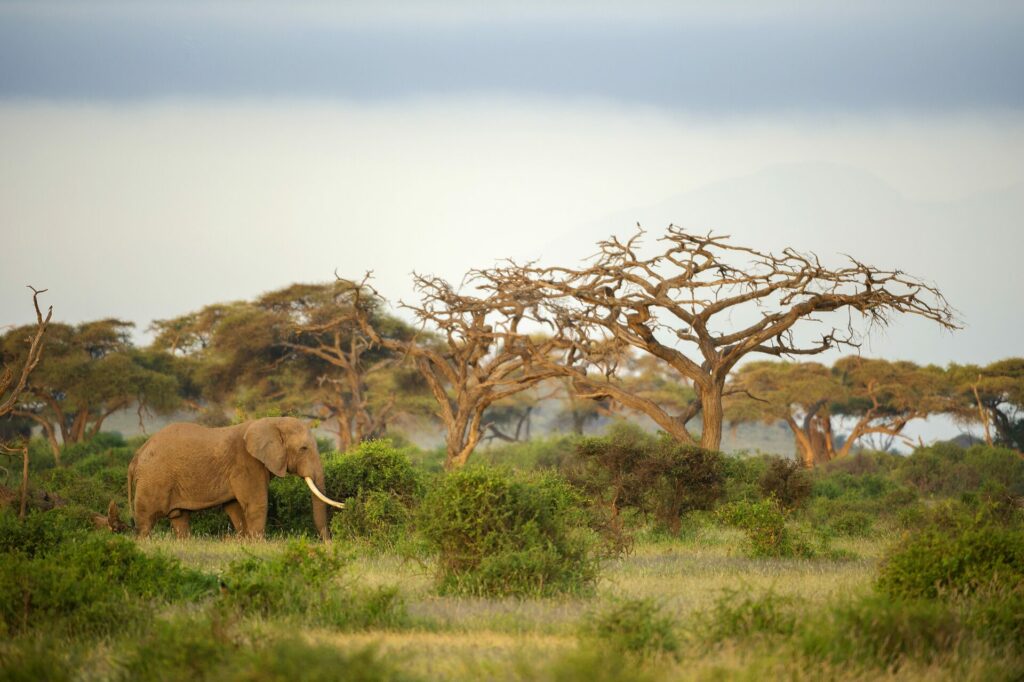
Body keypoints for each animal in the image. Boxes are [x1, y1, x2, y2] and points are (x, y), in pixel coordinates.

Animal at [126, 413, 344, 536]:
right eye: (303, 449)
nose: (327, 543)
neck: (270, 423)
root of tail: (136, 456)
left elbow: (234, 507)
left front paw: (245, 541)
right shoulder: (247, 464)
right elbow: (257, 503)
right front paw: (258, 544)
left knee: (179, 519)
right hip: (153, 479)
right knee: (146, 520)